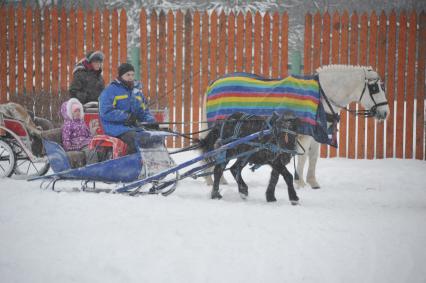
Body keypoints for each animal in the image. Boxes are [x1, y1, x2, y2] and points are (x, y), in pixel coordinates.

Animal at [201, 64, 388, 189]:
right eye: (374, 88)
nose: (385, 113)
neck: (321, 96)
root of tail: (213, 82)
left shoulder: (315, 134)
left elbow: (313, 157)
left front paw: (313, 182)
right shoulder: (304, 134)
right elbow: (303, 156)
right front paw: (300, 182)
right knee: (213, 150)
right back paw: (213, 179)